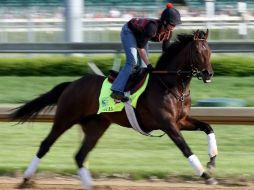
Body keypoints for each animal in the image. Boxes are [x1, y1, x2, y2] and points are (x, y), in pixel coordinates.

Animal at [9, 29, 218, 189]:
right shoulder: (167, 124)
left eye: (209, 51)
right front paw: (206, 176)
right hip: (65, 118)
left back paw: (91, 186)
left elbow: (208, 127)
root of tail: (72, 84)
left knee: (80, 156)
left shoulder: (180, 121)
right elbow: (185, 148)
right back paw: (25, 179)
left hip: (96, 126)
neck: (169, 84)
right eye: (197, 51)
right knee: (45, 145)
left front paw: (213, 159)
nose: (208, 74)